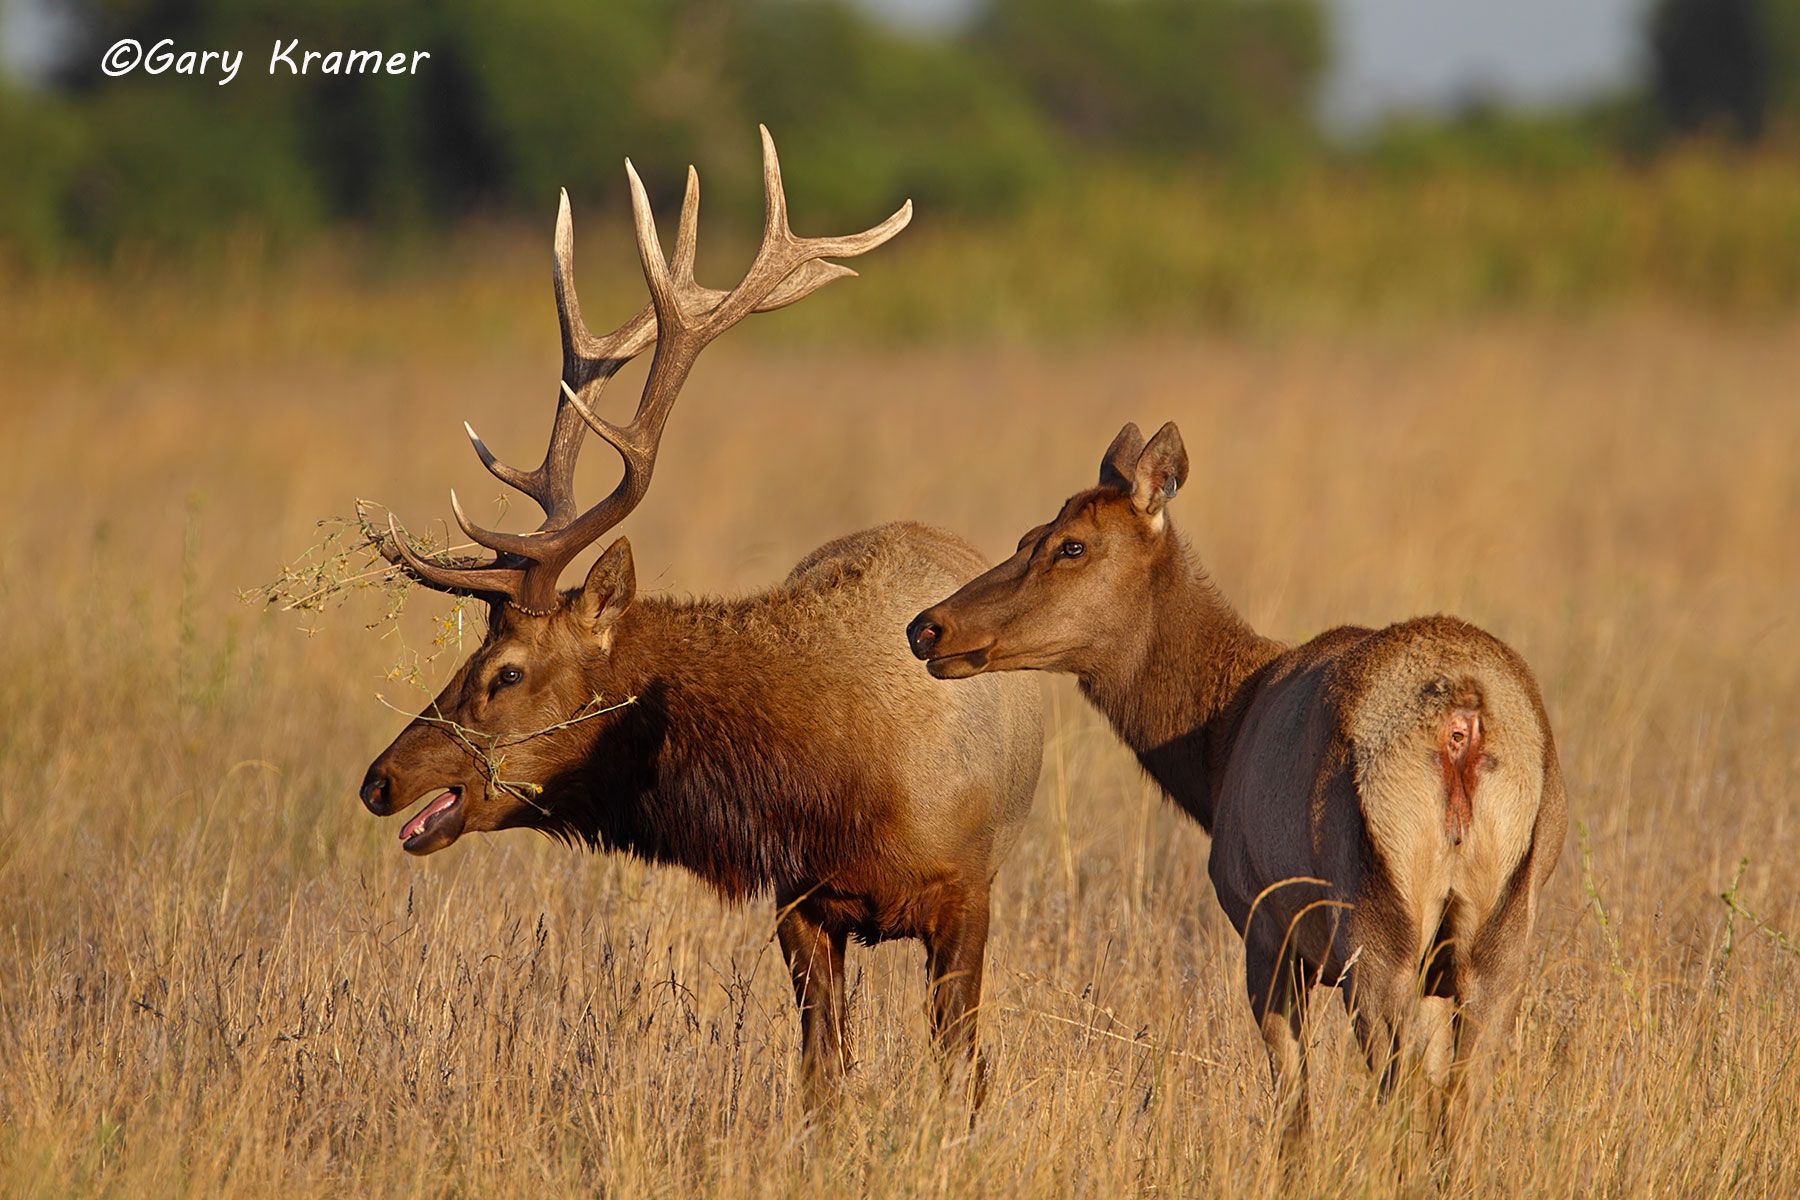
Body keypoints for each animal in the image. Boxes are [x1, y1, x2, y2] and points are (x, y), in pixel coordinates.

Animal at [355, 129, 1043, 1110]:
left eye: (506, 671)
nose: (381, 780)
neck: (836, 781)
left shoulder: (965, 896)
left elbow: (964, 1073)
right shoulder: (798, 902)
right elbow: (821, 1077)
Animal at [906, 420, 1566, 1143]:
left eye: (1069, 543)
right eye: (1028, 535)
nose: (928, 627)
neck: (1215, 747)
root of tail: (1462, 720)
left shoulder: (1264, 931)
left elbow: (1295, 1111)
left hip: (1376, 926)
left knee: (1405, 1095)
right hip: (1502, 932)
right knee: (1460, 1105)